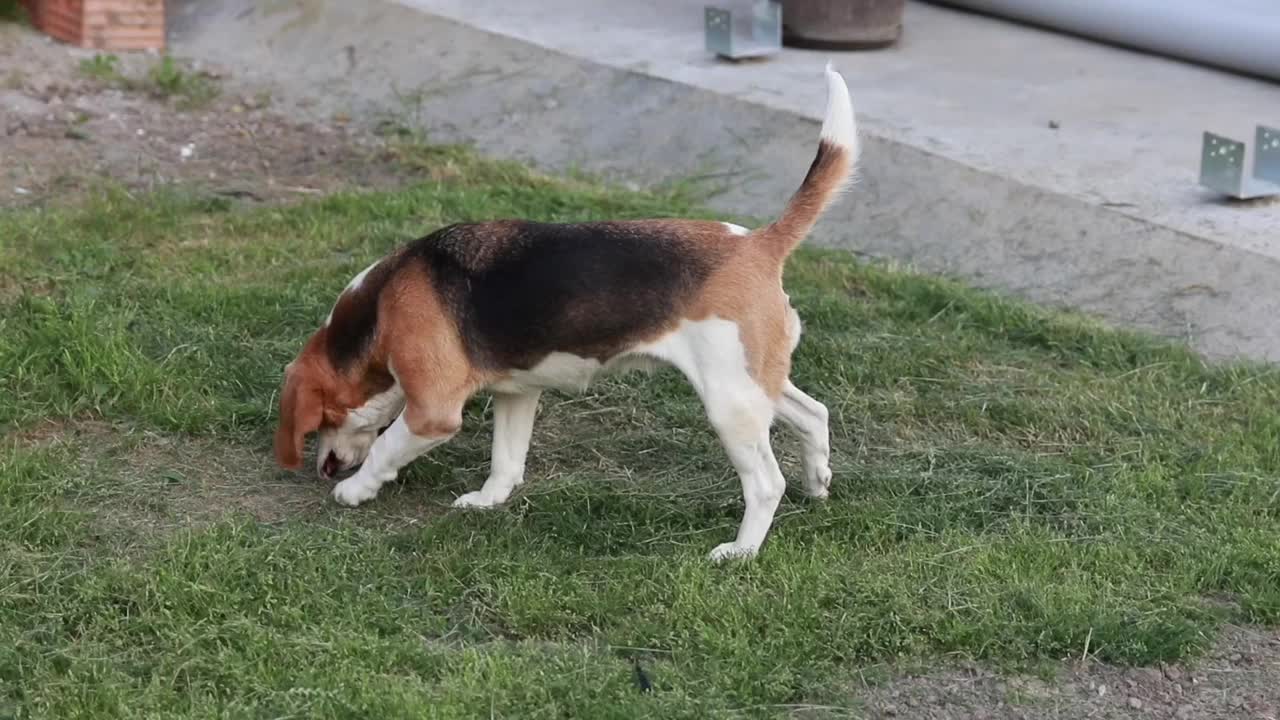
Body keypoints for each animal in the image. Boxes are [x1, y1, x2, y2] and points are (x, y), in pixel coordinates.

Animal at [280, 64, 860, 558]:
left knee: (765, 482)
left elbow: (385, 448)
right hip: (755, 383)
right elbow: (506, 460)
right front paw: (487, 502)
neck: (380, 305)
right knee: (814, 415)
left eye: (323, 419)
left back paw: (740, 551)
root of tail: (760, 243)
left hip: (729, 402)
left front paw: (355, 491)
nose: (324, 469)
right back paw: (817, 485)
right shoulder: (517, 391)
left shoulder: (432, 413)